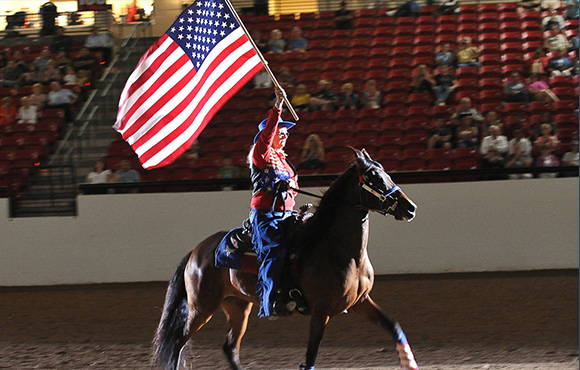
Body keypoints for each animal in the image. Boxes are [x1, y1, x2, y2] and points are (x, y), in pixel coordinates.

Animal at [152, 149, 420, 370]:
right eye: (375, 179)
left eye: (386, 173)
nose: (410, 208)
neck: (339, 251)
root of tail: (196, 251)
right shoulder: (321, 312)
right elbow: (310, 357)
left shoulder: (360, 302)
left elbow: (394, 326)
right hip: (201, 308)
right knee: (177, 343)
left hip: (238, 306)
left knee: (229, 348)